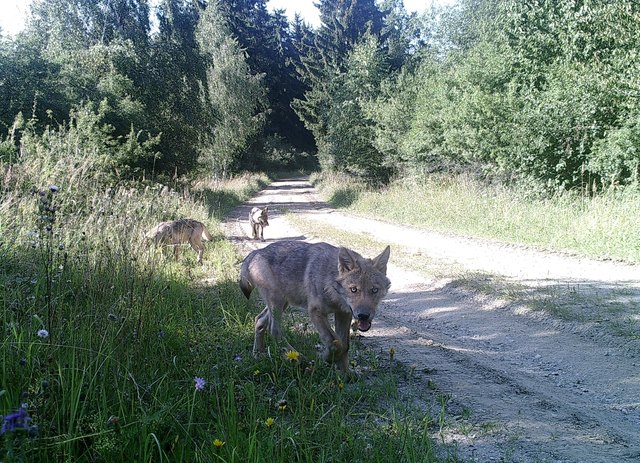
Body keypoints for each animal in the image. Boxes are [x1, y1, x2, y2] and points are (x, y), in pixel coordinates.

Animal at [240, 241, 390, 372]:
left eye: (374, 290)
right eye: (354, 290)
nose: (363, 316)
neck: (330, 286)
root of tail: (257, 252)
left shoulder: (344, 314)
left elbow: (345, 345)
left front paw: (346, 376)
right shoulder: (315, 312)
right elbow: (335, 343)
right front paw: (324, 358)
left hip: (282, 303)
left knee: (259, 320)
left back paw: (258, 354)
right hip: (277, 303)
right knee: (274, 330)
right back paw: (300, 359)